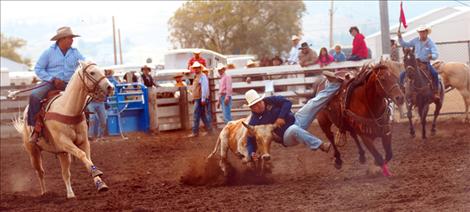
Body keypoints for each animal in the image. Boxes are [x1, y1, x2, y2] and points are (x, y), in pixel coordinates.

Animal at [12, 60, 114, 199]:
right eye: (92, 72)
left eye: (103, 71)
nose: (110, 87)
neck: (68, 109)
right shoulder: (65, 142)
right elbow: (82, 155)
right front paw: (95, 172)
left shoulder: (83, 142)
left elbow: (87, 158)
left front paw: (100, 183)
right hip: (33, 152)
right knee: (40, 172)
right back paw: (45, 193)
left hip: (61, 153)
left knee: (65, 173)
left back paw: (69, 193)